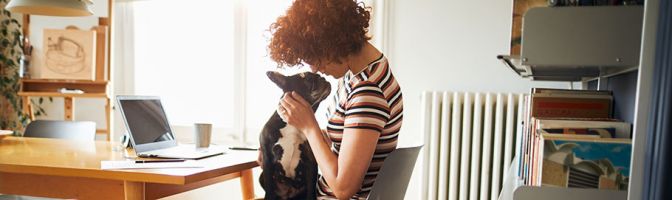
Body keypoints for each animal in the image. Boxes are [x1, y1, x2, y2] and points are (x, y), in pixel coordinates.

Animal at [258, 71, 332, 200]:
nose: (322, 77)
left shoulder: (311, 161)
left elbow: (311, 190)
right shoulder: (267, 160)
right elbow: (269, 189)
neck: (293, 125)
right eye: (305, 77)